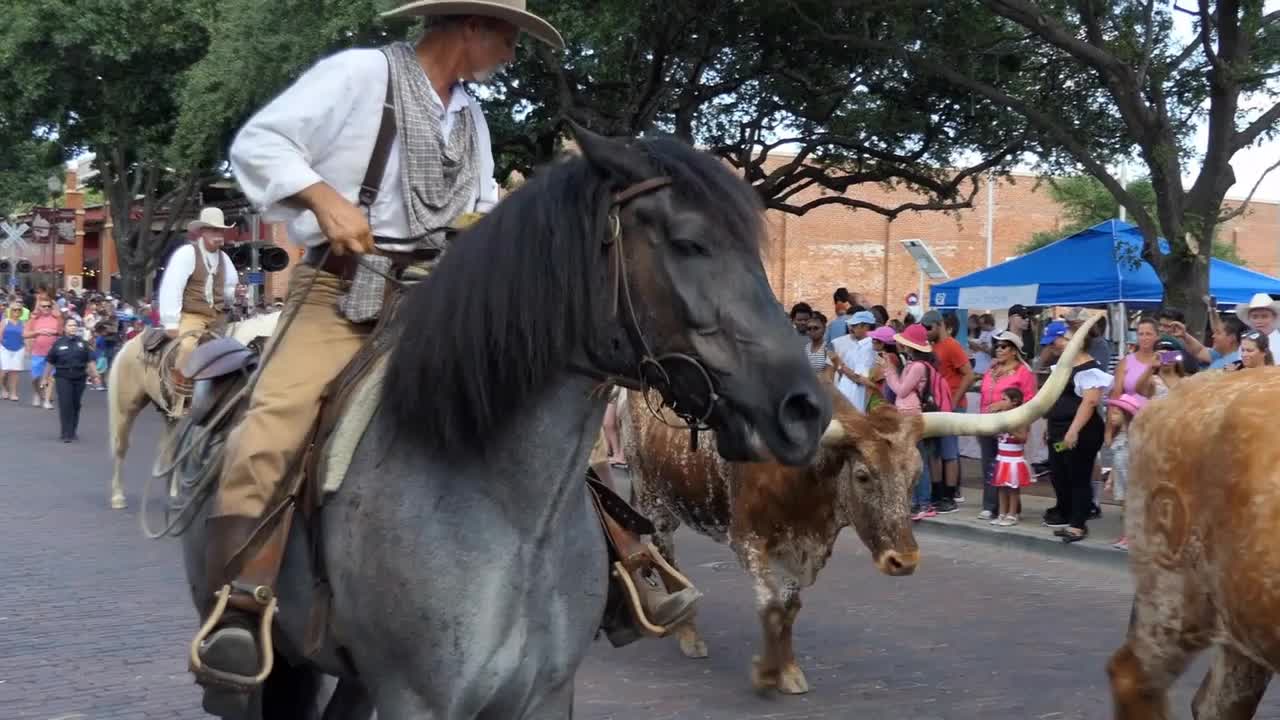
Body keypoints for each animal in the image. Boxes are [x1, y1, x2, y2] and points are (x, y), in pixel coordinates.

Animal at [108, 311, 281, 507]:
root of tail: (130, 343)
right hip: (126, 409)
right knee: (121, 447)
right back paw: (118, 497)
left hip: (170, 415)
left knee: (170, 450)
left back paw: (173, 493)